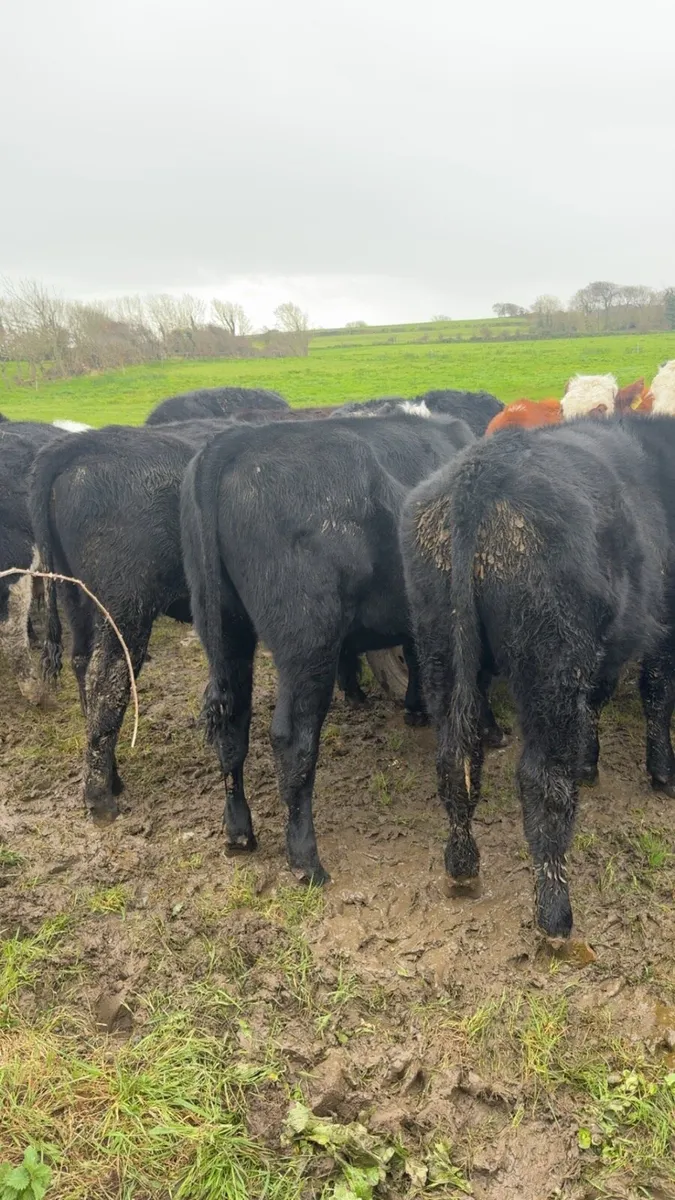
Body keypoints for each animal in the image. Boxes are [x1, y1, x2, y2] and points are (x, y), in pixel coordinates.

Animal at [179, 410, 506, 885]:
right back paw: (305, 858)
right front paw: (490, 728)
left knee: (231, 726)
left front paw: (416, 708)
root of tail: (233, 442)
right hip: (307, 641)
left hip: (224, 633)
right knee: (292, 739)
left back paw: (239, 830)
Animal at [400, 414, 675, 939]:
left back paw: (462, 867)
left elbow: (599, 700)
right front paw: (663, 773)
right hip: (550, 661)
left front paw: (590, 763)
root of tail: (482, 467)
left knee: (454, 760)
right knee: (542, 780)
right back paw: (555, 916)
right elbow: (656, 695)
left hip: (440, 646)